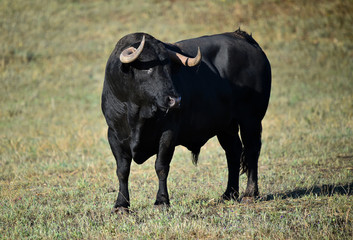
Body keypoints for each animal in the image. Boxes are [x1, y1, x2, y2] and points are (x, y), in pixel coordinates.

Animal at [100, 29, 270, 212]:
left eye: (169, 68)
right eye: (148, 68)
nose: (175, 100)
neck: (137, 112)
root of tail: (243, 37)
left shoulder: (168, 134)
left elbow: (161, 167)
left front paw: (162, 201)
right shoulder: (114, 135)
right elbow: (122, 170)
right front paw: (121, 204)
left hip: (251, 120)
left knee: (252, 151)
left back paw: (250, 194)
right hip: (226, 127)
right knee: (233, 152)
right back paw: (228, 194)